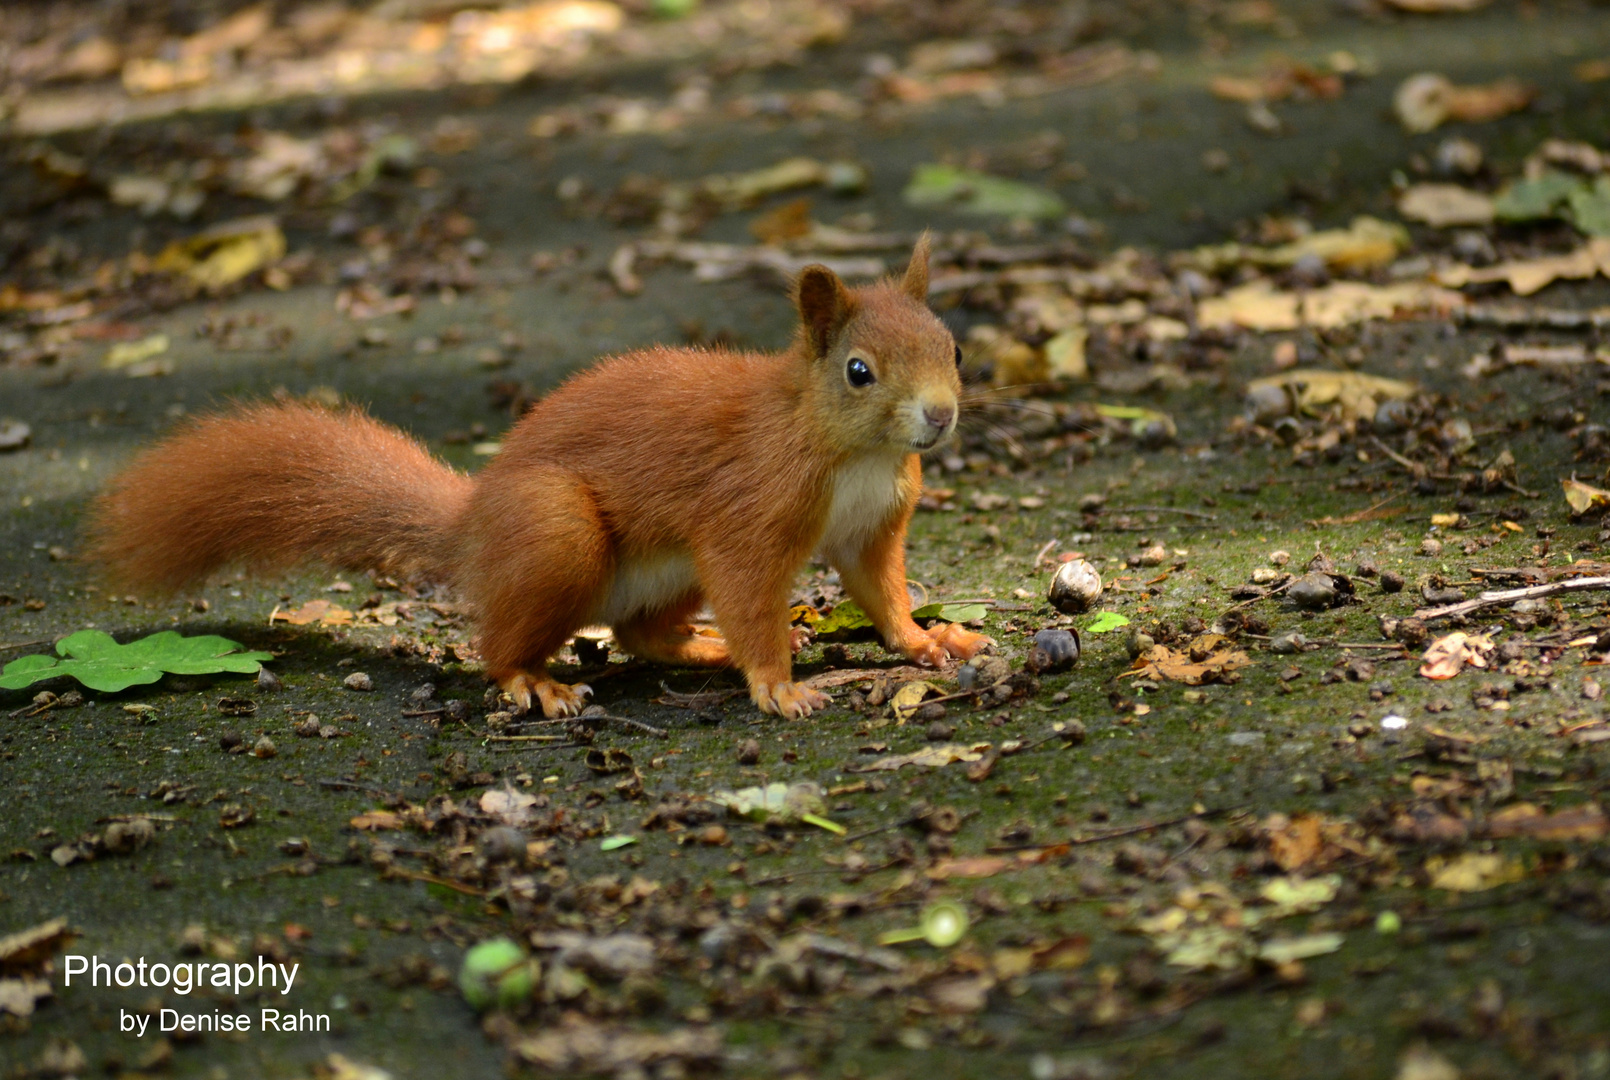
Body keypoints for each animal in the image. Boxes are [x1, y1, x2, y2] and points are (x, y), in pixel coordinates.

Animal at [91, 241, 991, 721]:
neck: (852, 454)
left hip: (659, 572)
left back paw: (698, 648)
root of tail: (474, 522)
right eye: (858, 371)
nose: (939, 416)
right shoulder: (748, 514)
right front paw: (777, 687)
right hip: (557, 532)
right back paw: (538, 684)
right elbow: (750, 597)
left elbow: (883, 592)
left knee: (637, 632)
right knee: (498, 648)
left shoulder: (873, 526)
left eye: (954, 348)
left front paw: (930, 640)